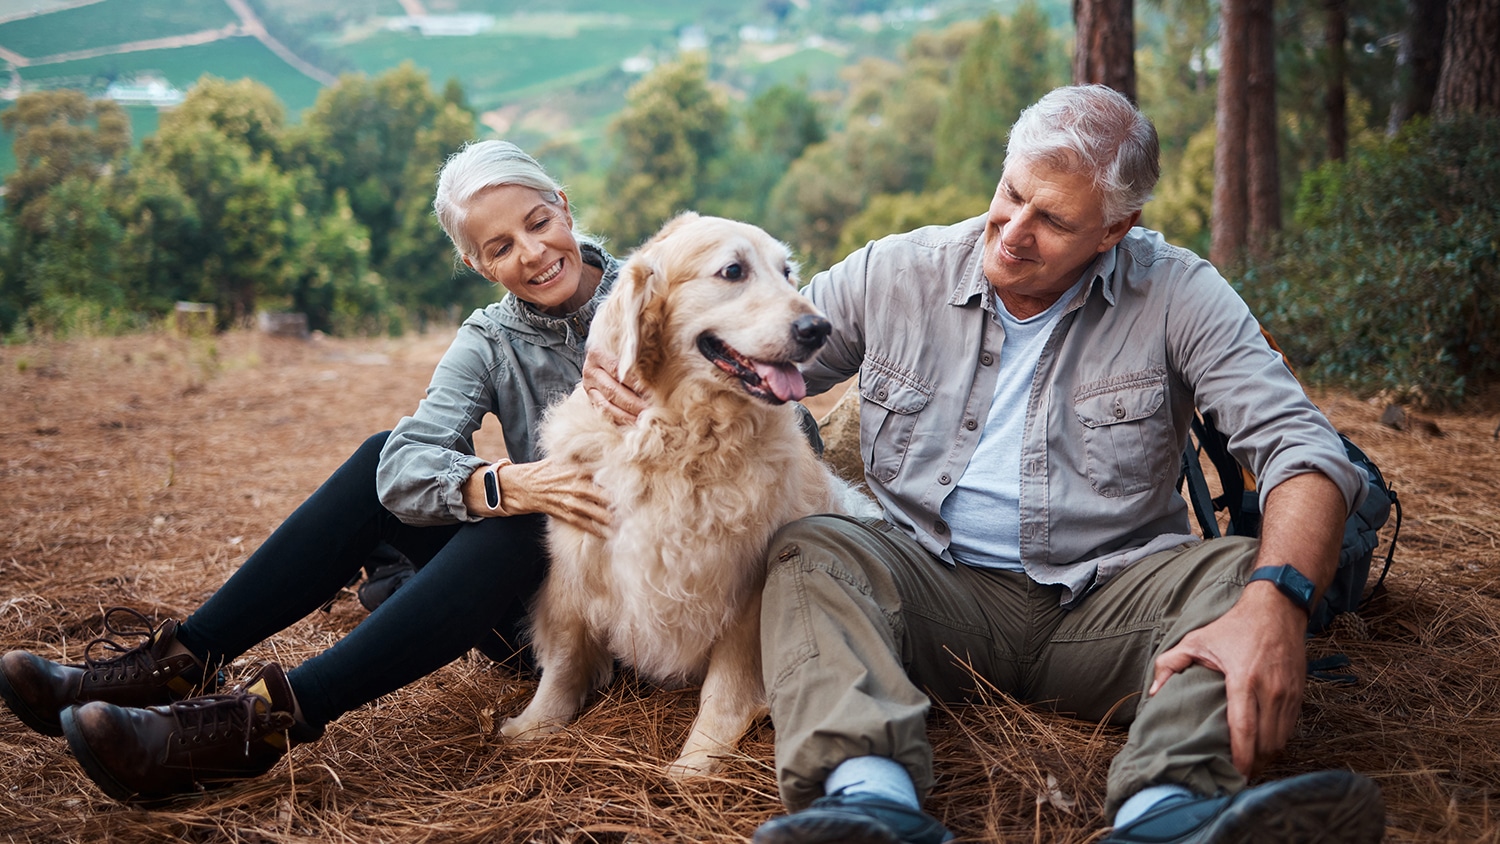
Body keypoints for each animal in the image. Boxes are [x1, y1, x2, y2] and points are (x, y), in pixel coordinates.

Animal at [504, 212, 876, 779]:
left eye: (787, 272)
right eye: (733, 270)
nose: (819, 328)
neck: (680, 435)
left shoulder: (746, 582)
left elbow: (726, 686)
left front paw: (698, 760)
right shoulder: (579, 557)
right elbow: (566, 655)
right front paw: (535, 725)